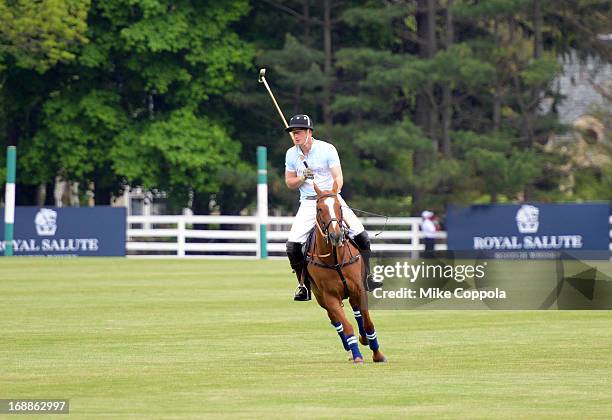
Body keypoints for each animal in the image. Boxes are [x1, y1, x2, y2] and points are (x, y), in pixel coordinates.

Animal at [306, 182, 388, 362]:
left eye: (339, 206)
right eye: (319, 208)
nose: (336, 235)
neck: (335, 259)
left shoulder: (359, 288)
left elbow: (368, 322)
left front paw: (378, 354)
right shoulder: (330, 297)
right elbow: (346, 326)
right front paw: (357, 355)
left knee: (356, 311)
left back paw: (364, 339)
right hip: (320, 296)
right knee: (335, 320)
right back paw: (349, 348)